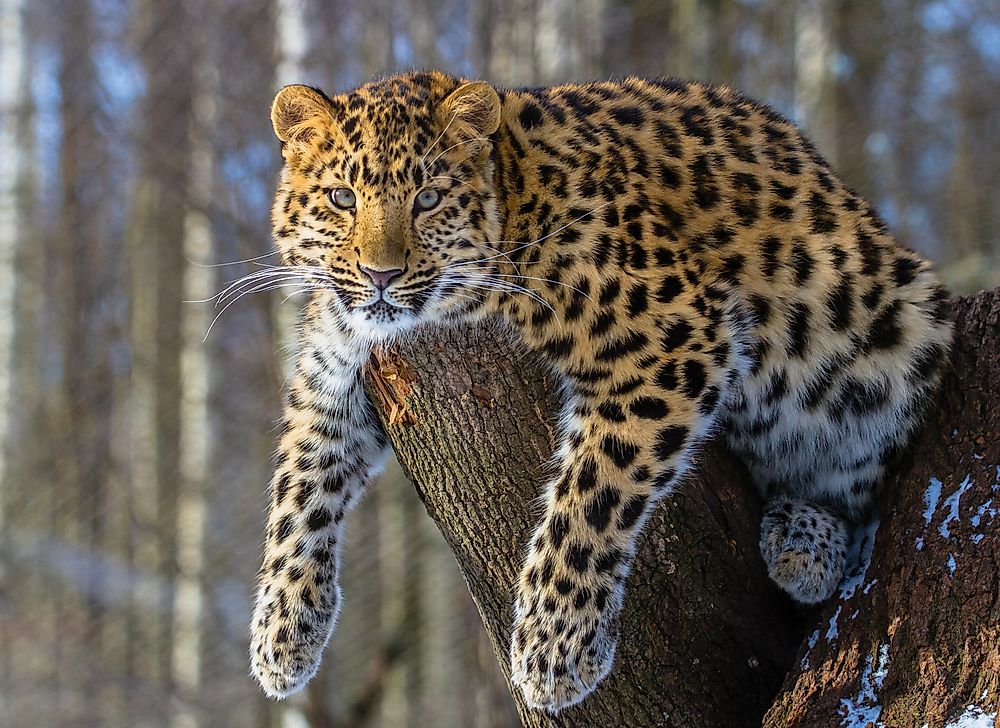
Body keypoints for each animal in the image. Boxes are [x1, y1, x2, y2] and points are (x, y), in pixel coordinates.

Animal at [248, 69, 952, 712]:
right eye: (341, 198)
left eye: (428, 199)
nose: (382, 275)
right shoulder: (332, 368)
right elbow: (299, 484)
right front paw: (280, 634)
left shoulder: (677, 336)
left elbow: (593, 488)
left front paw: (553, 649)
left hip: (898, 336)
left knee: (860, 490)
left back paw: (806, 543)